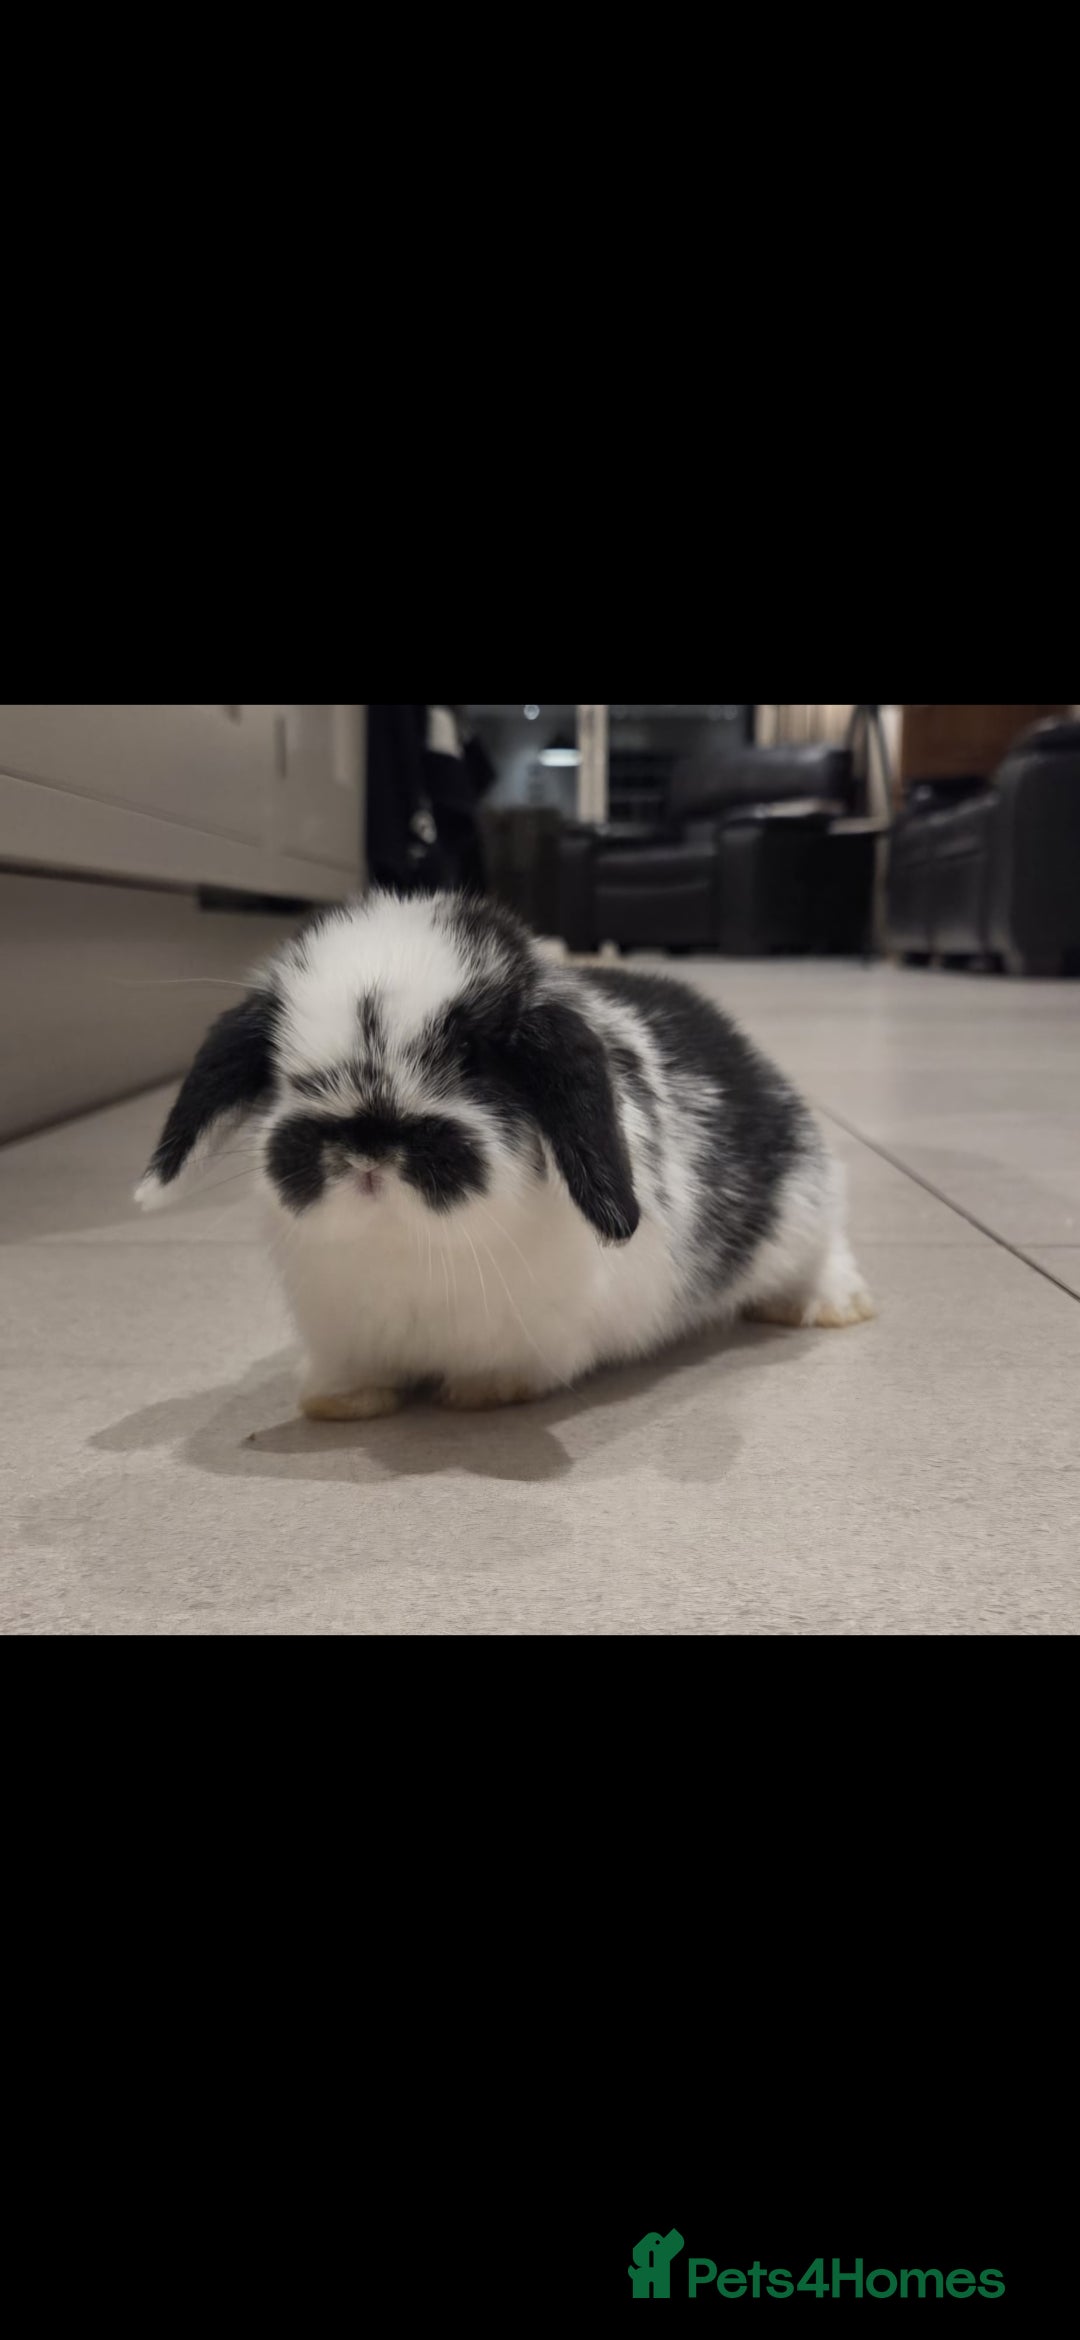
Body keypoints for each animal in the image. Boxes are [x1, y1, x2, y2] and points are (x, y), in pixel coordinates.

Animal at [135, 890, 873, 1416]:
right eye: (283, 1072)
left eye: (473, 1060)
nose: (368, 1144)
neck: (401, 1245)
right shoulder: (340, 1330)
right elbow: (353, 1375)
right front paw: (339, 1404)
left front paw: (482, 1394)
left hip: (805, 1205)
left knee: (824, 1251)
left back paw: (830, 1307)